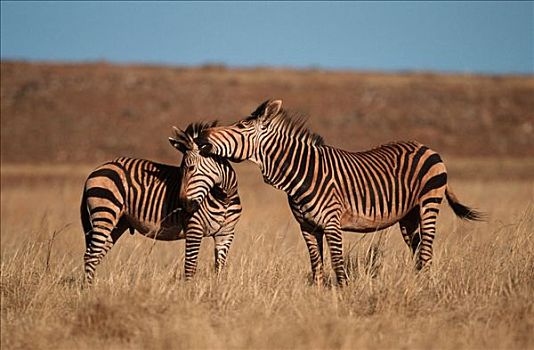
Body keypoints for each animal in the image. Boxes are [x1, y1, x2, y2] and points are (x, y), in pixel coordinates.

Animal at [80, 121, 242, 284]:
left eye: (191, 168)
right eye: (181, 171)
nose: (183, 205)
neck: (224, 198)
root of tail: (99, 168)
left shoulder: (226, 234)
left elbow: (219, 268)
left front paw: (217, 287)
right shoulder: (194, 228)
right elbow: (190, 267)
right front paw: (189, 289)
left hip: (118, 223)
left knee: (97, 254)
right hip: (104, 213)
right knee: (91, 255)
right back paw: (89, 288)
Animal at [199, 100, 488, 286]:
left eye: (240, 128)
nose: (202, 136)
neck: (302, 173)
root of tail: (427, 147)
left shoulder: (331, 222)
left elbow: (337, 263)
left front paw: (341, 295)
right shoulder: (307, 226)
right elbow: (316, 264)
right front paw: (318, 296)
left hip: (429, 202)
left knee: (426, 249)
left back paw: (425, 286)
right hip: (408, 215)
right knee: (417, 249)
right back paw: (417, 284)